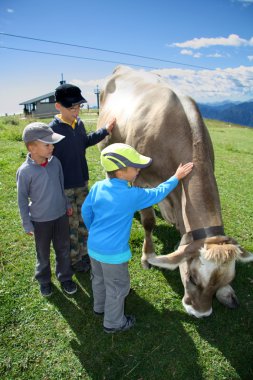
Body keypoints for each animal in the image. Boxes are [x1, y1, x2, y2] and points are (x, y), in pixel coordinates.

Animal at [95, 65, 253, 318]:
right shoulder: (141, 181)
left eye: (225, 279)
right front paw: (147, 257)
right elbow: (148, 222)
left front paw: (226, 293)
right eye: (192, 278)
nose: (201, 314)